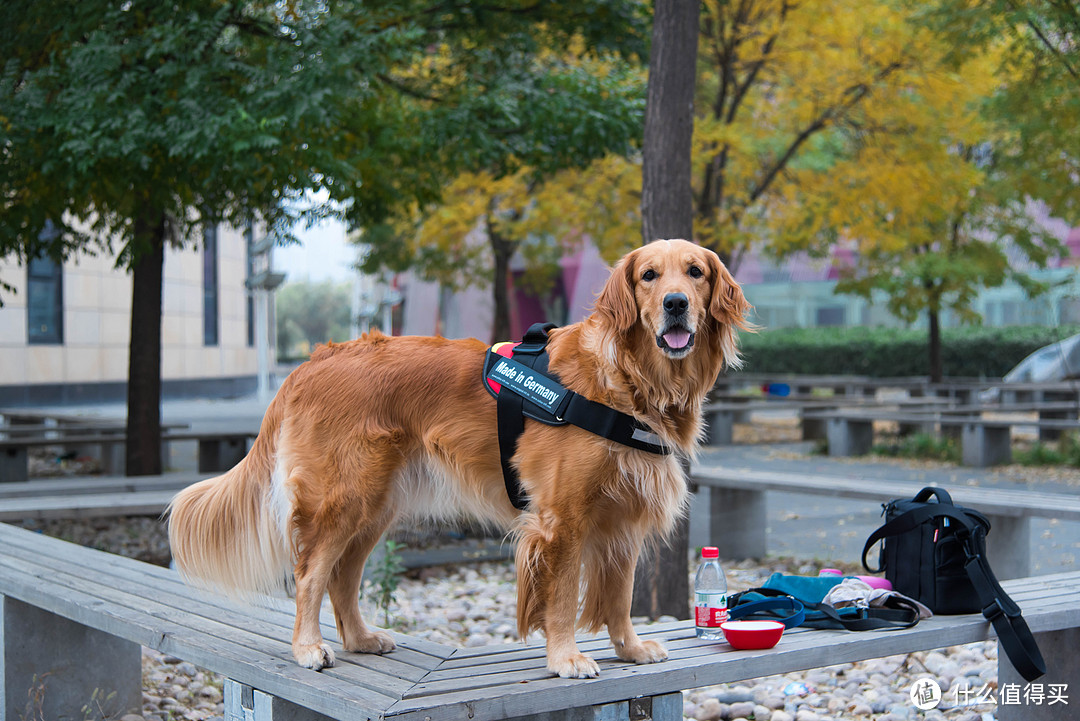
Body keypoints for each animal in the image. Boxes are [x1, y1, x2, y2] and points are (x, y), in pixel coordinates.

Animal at [166, 239, 751, 677]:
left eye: (695, 272)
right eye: (649, 276)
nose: (675, 302)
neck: (629, 382)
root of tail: (313, 361)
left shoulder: (621, 516)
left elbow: (621, 594)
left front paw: (630, 648)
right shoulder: (563, 519)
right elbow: (563, 597)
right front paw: (566, 658)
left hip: (375, 507)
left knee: (342, 577)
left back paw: (360, 638)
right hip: (342, 499)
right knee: (310, 574)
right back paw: (308, 647)